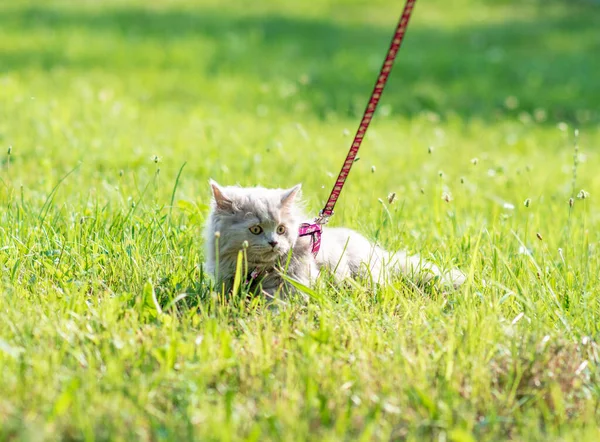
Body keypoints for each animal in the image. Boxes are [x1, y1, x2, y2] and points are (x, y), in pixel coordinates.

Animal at [204, 180, 466, 300]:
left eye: (280, 229)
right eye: (256, 229)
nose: (274, 243)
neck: (256, 268)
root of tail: (378, 252)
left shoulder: (295, 281)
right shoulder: (228, 278)